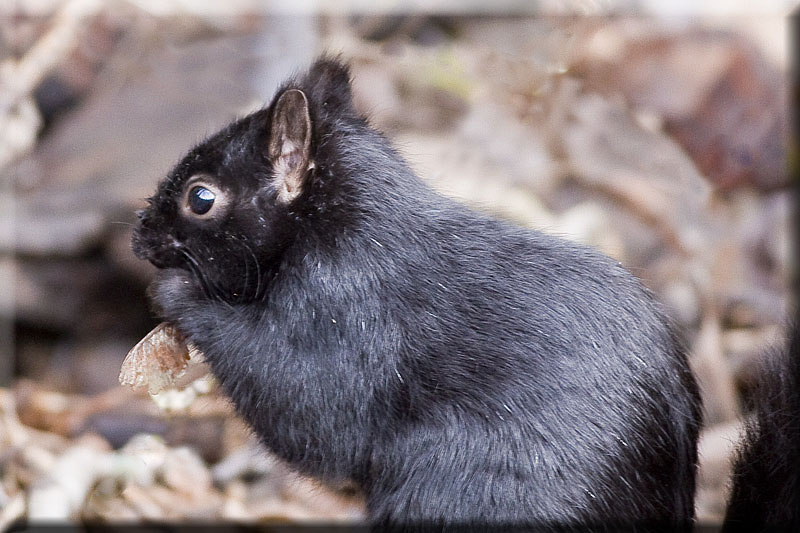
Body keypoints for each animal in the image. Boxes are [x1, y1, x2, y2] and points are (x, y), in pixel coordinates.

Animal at [131, 57, 792, 528]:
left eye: (200, 196)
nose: (140, 238)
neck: (346, 228)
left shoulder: (346, 317)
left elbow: (310, 414)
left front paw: (178, 293)